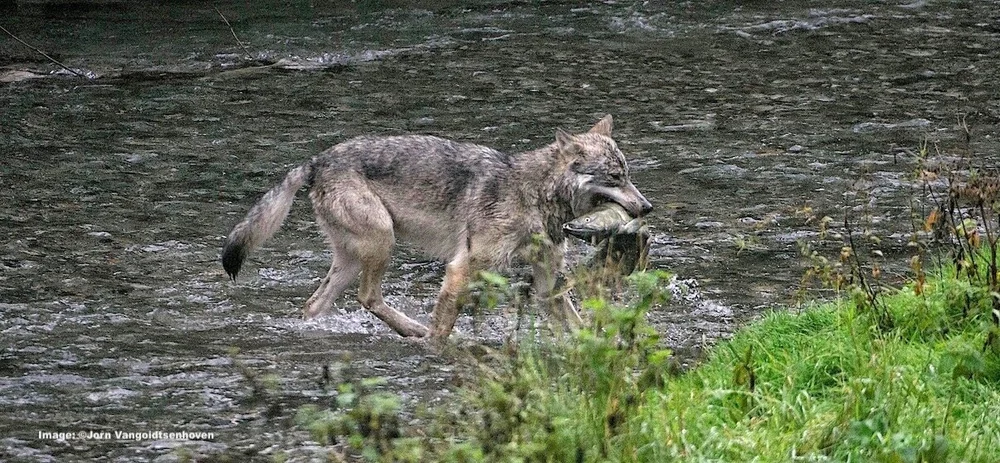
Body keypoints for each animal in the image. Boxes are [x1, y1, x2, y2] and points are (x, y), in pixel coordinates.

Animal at [221, 115, 652, 342]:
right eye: (615, 178)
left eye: (629, 175)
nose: (647, 206)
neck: (533, 193)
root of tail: (316, 161)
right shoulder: (461, 268)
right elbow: (444, 326)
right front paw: (436, 344)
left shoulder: (547, 283)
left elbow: (578, 323)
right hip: (382, 241)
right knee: (368, 297)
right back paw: (415, 329)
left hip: (352, 258)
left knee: (315, 304)